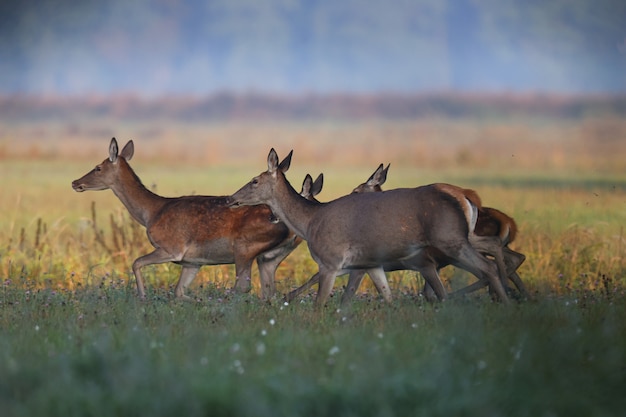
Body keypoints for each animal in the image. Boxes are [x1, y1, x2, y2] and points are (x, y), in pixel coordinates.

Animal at [71, 139, 310, 300]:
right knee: (269, 290)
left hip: (244, 246)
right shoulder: (192, 262)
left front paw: (142, 297)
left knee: (244, 286)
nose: (75, 182)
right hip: (269, 257)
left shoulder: (172, 247)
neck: (151, 213)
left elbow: (136, 262)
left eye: (97, 167)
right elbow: (178, 291)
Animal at [229, 149, 508, 306]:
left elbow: (321, 304)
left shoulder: (332, 261)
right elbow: (385, 298)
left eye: (254, 181)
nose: (231, 198)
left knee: (486, 267)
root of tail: (466, 199)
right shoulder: (369, 264)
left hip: (450, 240)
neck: (310, 222)